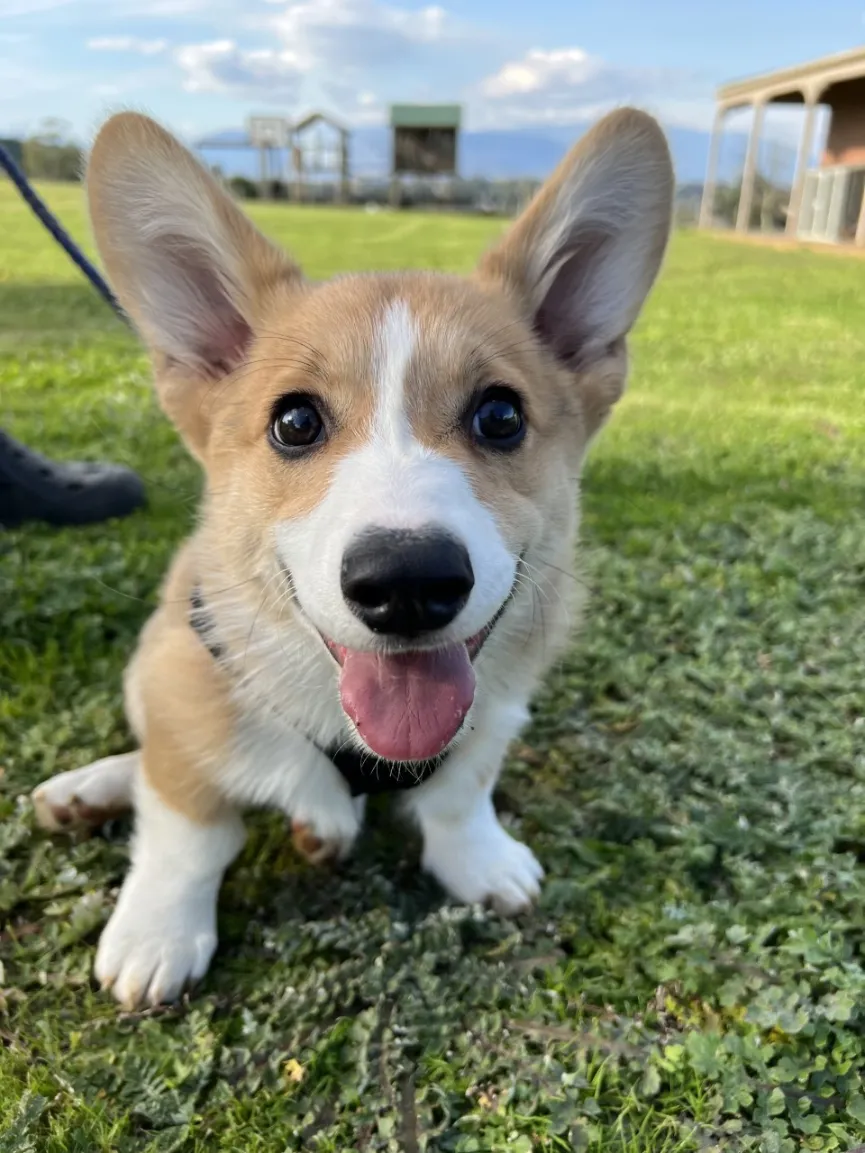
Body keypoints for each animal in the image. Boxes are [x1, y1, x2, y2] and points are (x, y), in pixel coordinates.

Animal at [32, 108, 668, 1010]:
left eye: (501, 415)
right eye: (295, 422)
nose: (406, 583)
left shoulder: (496, 712)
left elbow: (462, 791)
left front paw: (479, 859)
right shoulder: (190, 683)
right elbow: (188, 824)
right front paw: (158, 933)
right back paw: (91, 789)